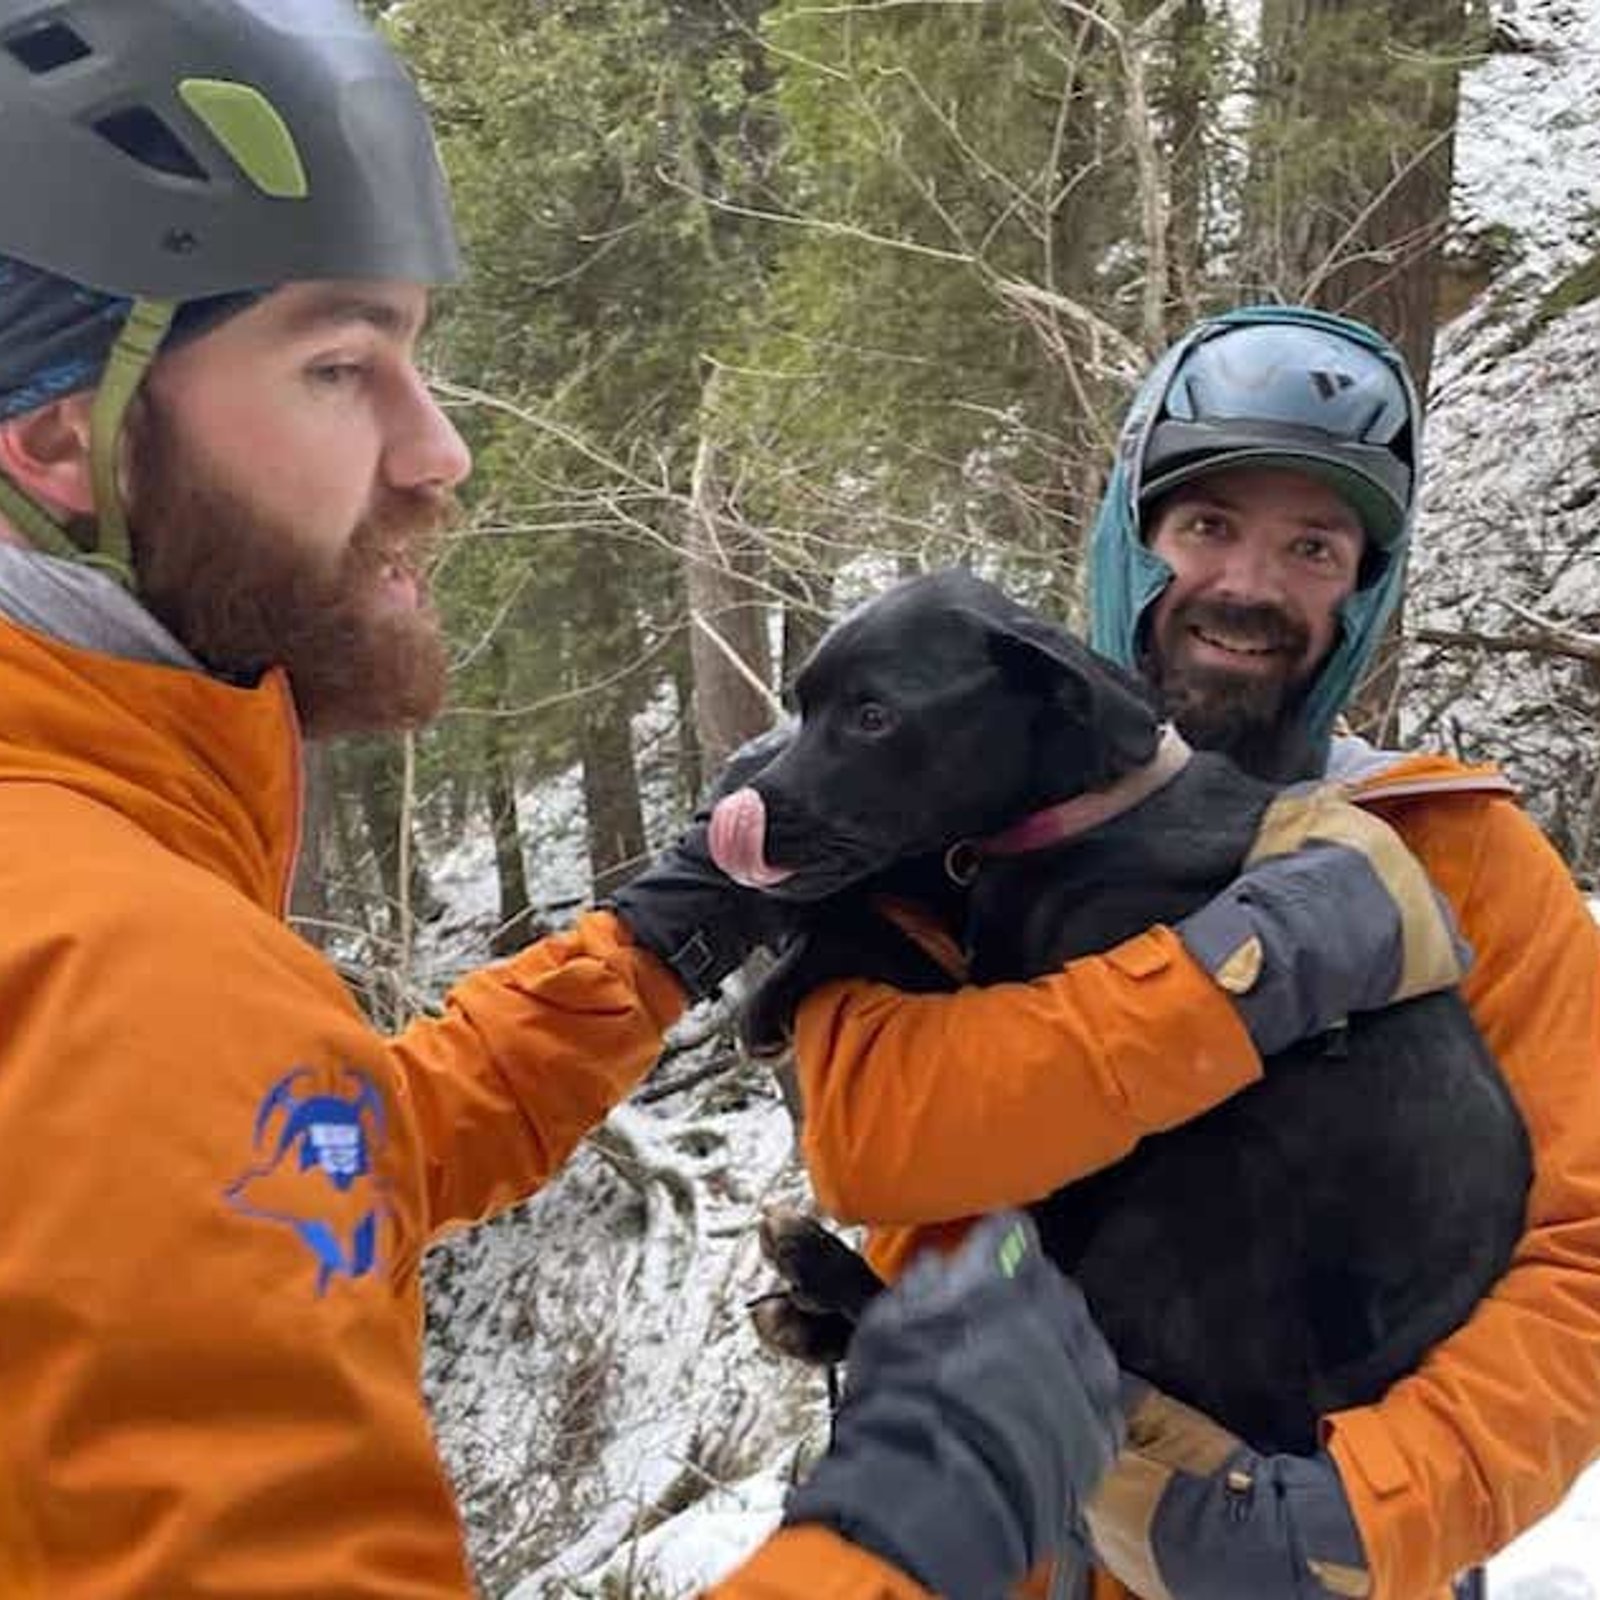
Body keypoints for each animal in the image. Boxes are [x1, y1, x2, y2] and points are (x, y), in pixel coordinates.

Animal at [710, 569, 1523, 1459]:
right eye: (802, 701)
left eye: (872, 715)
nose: (731, 798)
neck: (1092, 811)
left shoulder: (1023, 992)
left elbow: (898, 945)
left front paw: (783, 982)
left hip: (1191, 1193)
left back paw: (821, 1272)